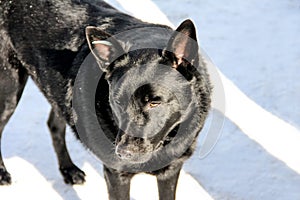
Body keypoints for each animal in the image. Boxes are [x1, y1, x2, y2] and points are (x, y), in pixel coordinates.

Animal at [0, 0, 211, 199]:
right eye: (117, 102)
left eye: (155, 102)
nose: (124, 152)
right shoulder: (116, 174)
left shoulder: (170, 171)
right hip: (10, 90)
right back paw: (3, 173)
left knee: (54, 124)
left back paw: (69, 170)